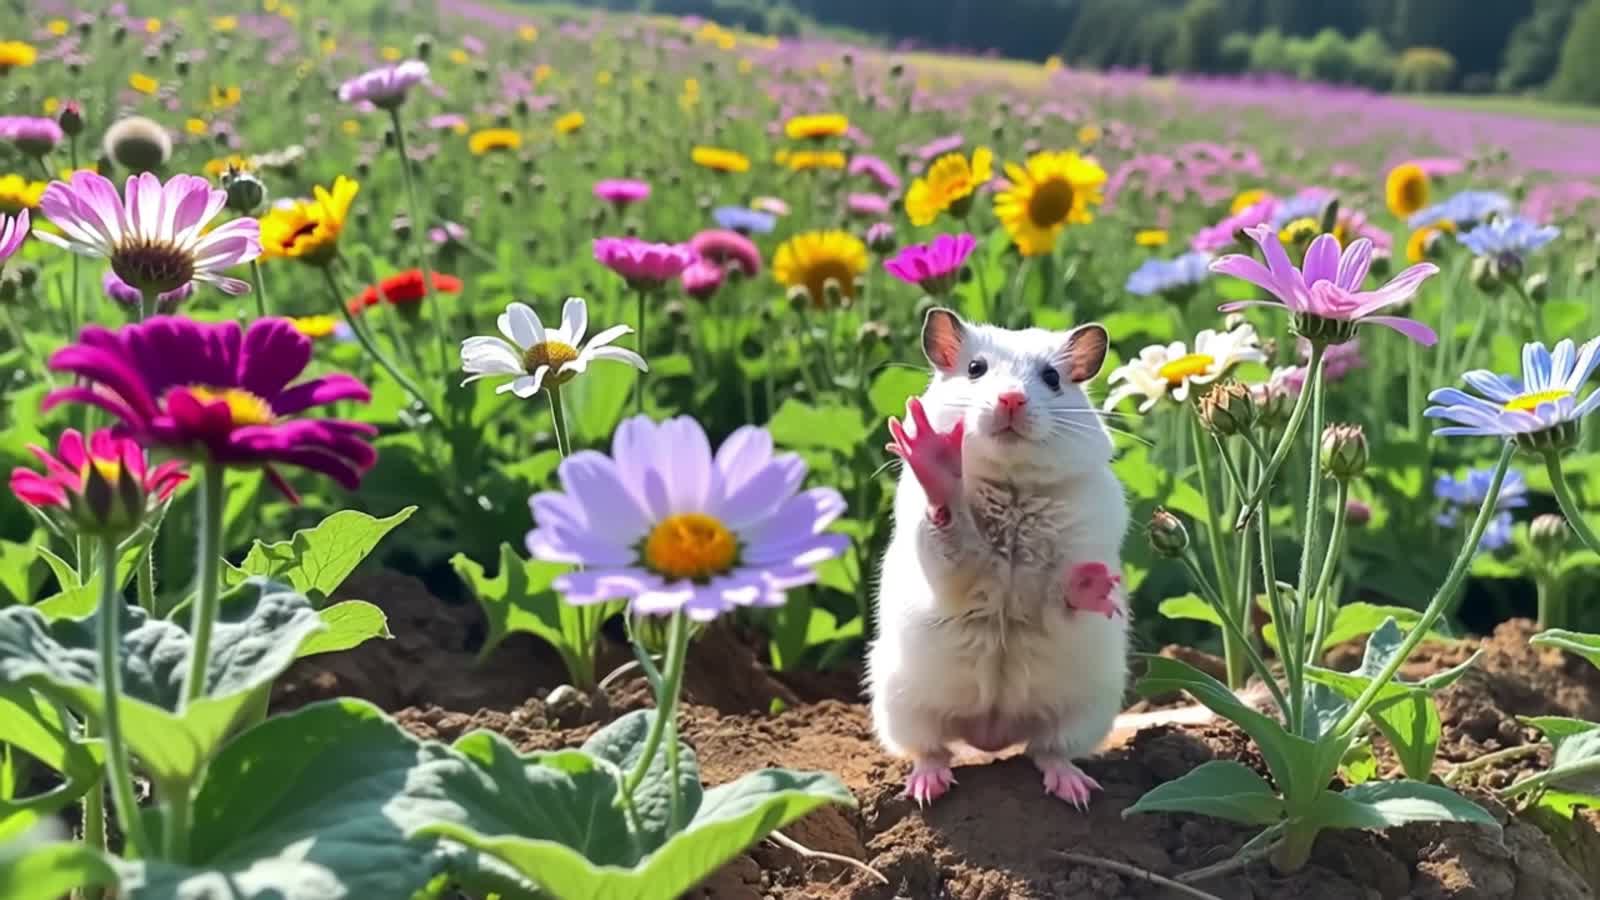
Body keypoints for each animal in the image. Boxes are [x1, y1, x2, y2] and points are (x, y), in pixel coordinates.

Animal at [867, 307, 1129, 808]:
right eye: (975, 369)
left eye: (1052, 378)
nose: (1011, 400)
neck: (1013, 484)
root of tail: (990, 736)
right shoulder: (948, 564)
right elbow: (949, 533)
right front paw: (931, 453)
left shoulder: (1062, 580)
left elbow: (1059, 599)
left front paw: (1092, 582)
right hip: (900, 704)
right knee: (931, 751)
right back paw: (927, 788)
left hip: (1087, 710)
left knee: (1047, 750)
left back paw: (1075, 790)